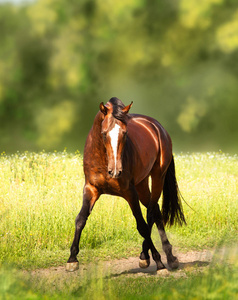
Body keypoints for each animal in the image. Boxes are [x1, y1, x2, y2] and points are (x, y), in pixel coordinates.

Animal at [66, 98, 186, 272]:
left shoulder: (130, 192)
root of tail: (158, 127)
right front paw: (72, 259)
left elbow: (141, 226)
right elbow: (80, 219)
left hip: (157, 177)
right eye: (103, 133)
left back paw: (159, 257)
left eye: (125, 133)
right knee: (154, 210)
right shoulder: (91, 188)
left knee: (151, 213)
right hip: (142, 184)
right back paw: (157, 256)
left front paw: (159, 263)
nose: (115, 171)